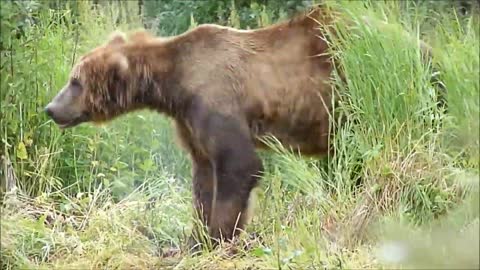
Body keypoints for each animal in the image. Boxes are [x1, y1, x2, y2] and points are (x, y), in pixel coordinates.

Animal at [45, 5, 442, 250]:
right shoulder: (190, 122)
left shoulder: (217, 101)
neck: (174, 85)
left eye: (75, 81)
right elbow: (203, 178)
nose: (51, 108)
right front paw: (195, 239)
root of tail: (424, 46)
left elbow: (238, 165)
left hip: (362, 90)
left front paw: (219, 238)